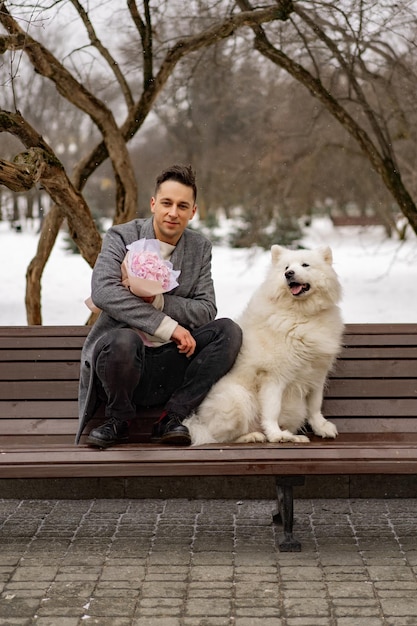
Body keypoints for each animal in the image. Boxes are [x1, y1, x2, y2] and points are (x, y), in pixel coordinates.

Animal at [184, 244, 342, 444]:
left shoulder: (317, 375)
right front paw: (275, 435)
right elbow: (272, 410)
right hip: (238, 399)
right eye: (286, 267)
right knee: (221, 437)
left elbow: (315, 405)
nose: (289, 274)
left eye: (305, 265)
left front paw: (321, 427)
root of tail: (201, 423)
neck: (301, 313)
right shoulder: (274, 376)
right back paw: (254, 436)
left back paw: (293, 437)